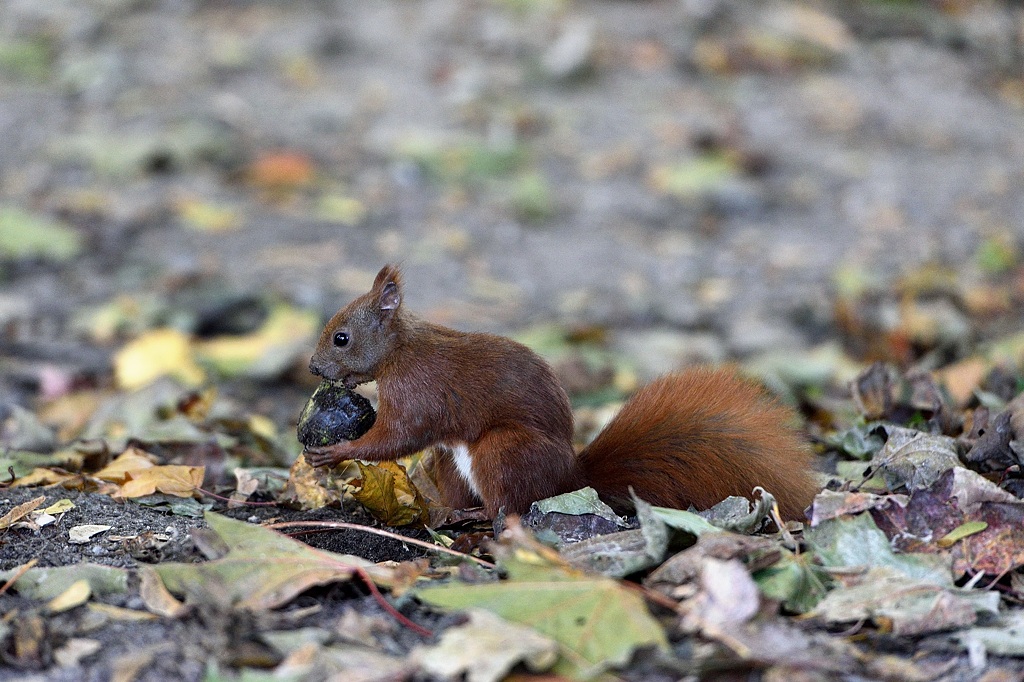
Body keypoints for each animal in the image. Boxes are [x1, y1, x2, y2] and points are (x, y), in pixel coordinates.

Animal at [304, 264, 819, 520]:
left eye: (342, 338)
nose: (313, 367)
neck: (401, 350)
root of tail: (571, 479)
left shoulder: (418, 392)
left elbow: (398, 437)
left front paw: (336, 452)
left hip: (503, 452)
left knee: (508, 510)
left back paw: (470, 520)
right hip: (453, 460)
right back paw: (441, 509)